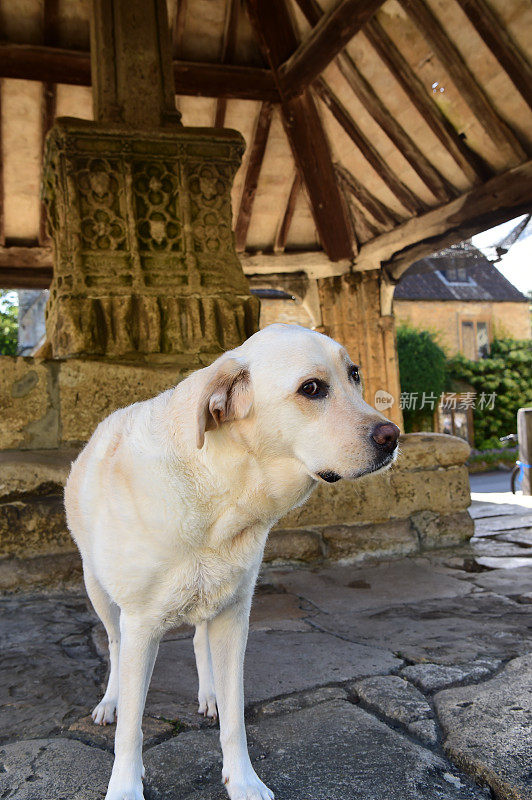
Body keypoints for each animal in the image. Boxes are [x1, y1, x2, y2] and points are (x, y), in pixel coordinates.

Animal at [64, 322, 400, 796]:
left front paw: (242, 780)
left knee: (197, 640)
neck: (220, 493)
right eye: (312, 388)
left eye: (354, 374)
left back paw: (209, 695)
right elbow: (131, 727)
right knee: (112, 645)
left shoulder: (234, 615)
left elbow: (236, 717)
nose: (393, 437)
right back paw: (110, 701)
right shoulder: (141, 626)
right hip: (100, 592)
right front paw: (125, 787)